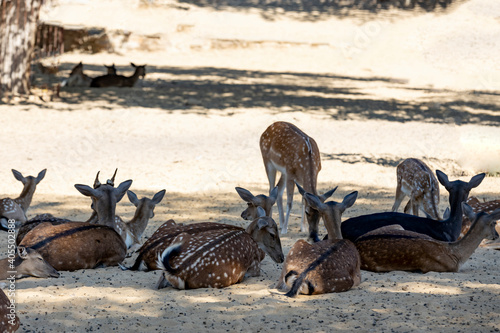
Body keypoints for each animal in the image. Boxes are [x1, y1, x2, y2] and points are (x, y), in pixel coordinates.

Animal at [154, 208, 284, 288]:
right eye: (272, 234)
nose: (282, 258)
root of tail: (176, 270)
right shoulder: (256, 267)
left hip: (181, 236)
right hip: (221, 279)